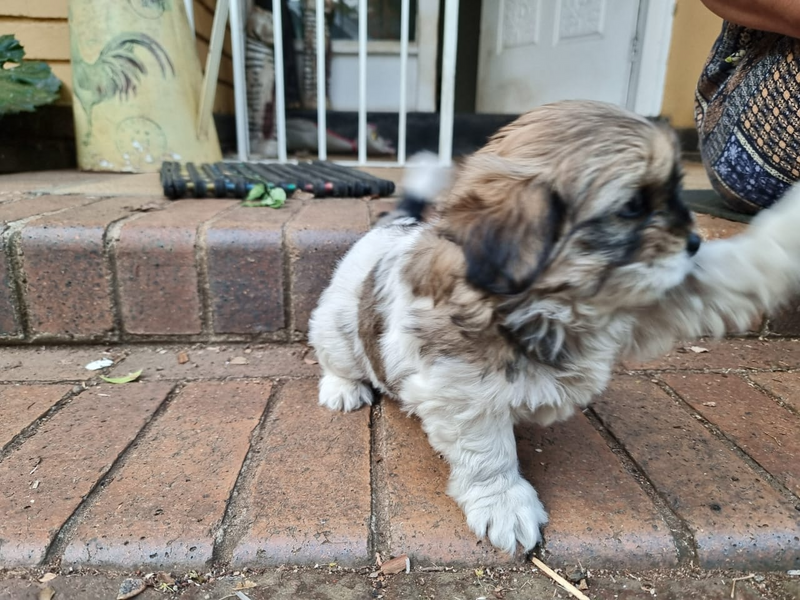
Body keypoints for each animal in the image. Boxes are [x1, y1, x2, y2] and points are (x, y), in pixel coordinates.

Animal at [308, 98, 800, 552]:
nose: (695, 241)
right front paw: (504, 503)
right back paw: (343, 388)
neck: (552, 306)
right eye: (632, 207)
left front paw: (783, 230)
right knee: (338, 359)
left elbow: (729, 272)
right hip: (335, 326)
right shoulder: (463, 393)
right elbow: (489, 453)